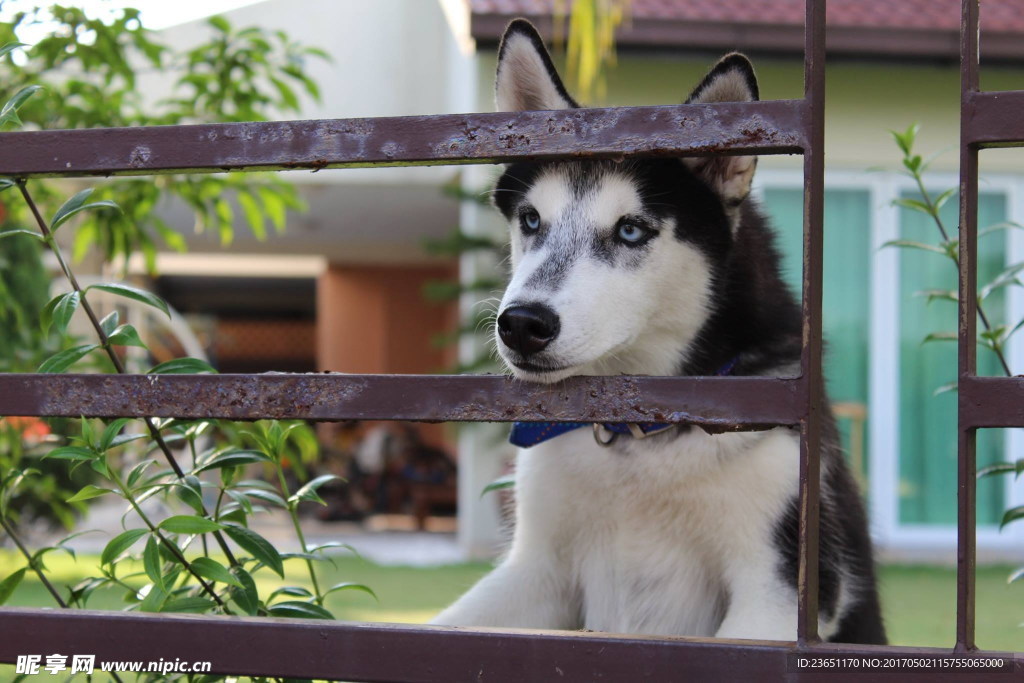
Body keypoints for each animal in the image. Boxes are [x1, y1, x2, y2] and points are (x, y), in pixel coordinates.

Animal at [432, 18, 880, 643]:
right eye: (531, 220)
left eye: (630, 230)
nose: (522, 324)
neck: (637, 433)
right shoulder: (535, 573)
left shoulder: (775, 590)